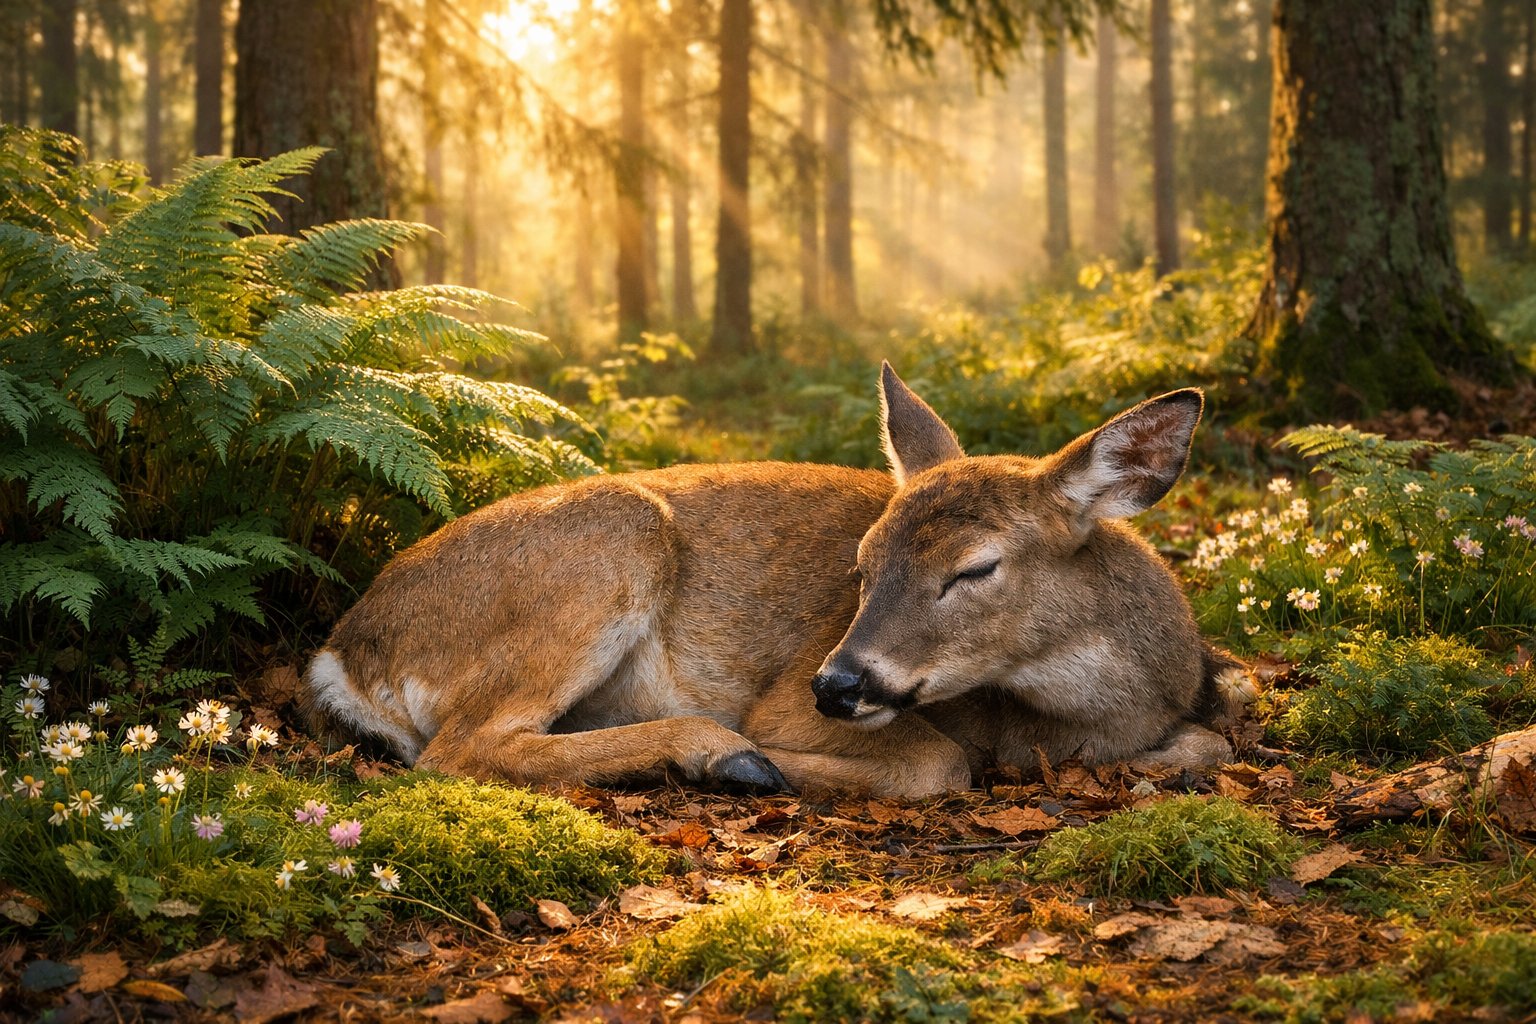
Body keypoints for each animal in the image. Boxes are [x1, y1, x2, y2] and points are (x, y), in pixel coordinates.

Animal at [302, 363, 1241, 800]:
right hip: (610, 543)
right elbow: (941, 762)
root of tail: (344, 653)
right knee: (457, 751)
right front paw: (770, 757)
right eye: (861, 564)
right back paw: (717, 754)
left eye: (975, 568)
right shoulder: (787, 697)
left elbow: (1216, 741)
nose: (839, 683)